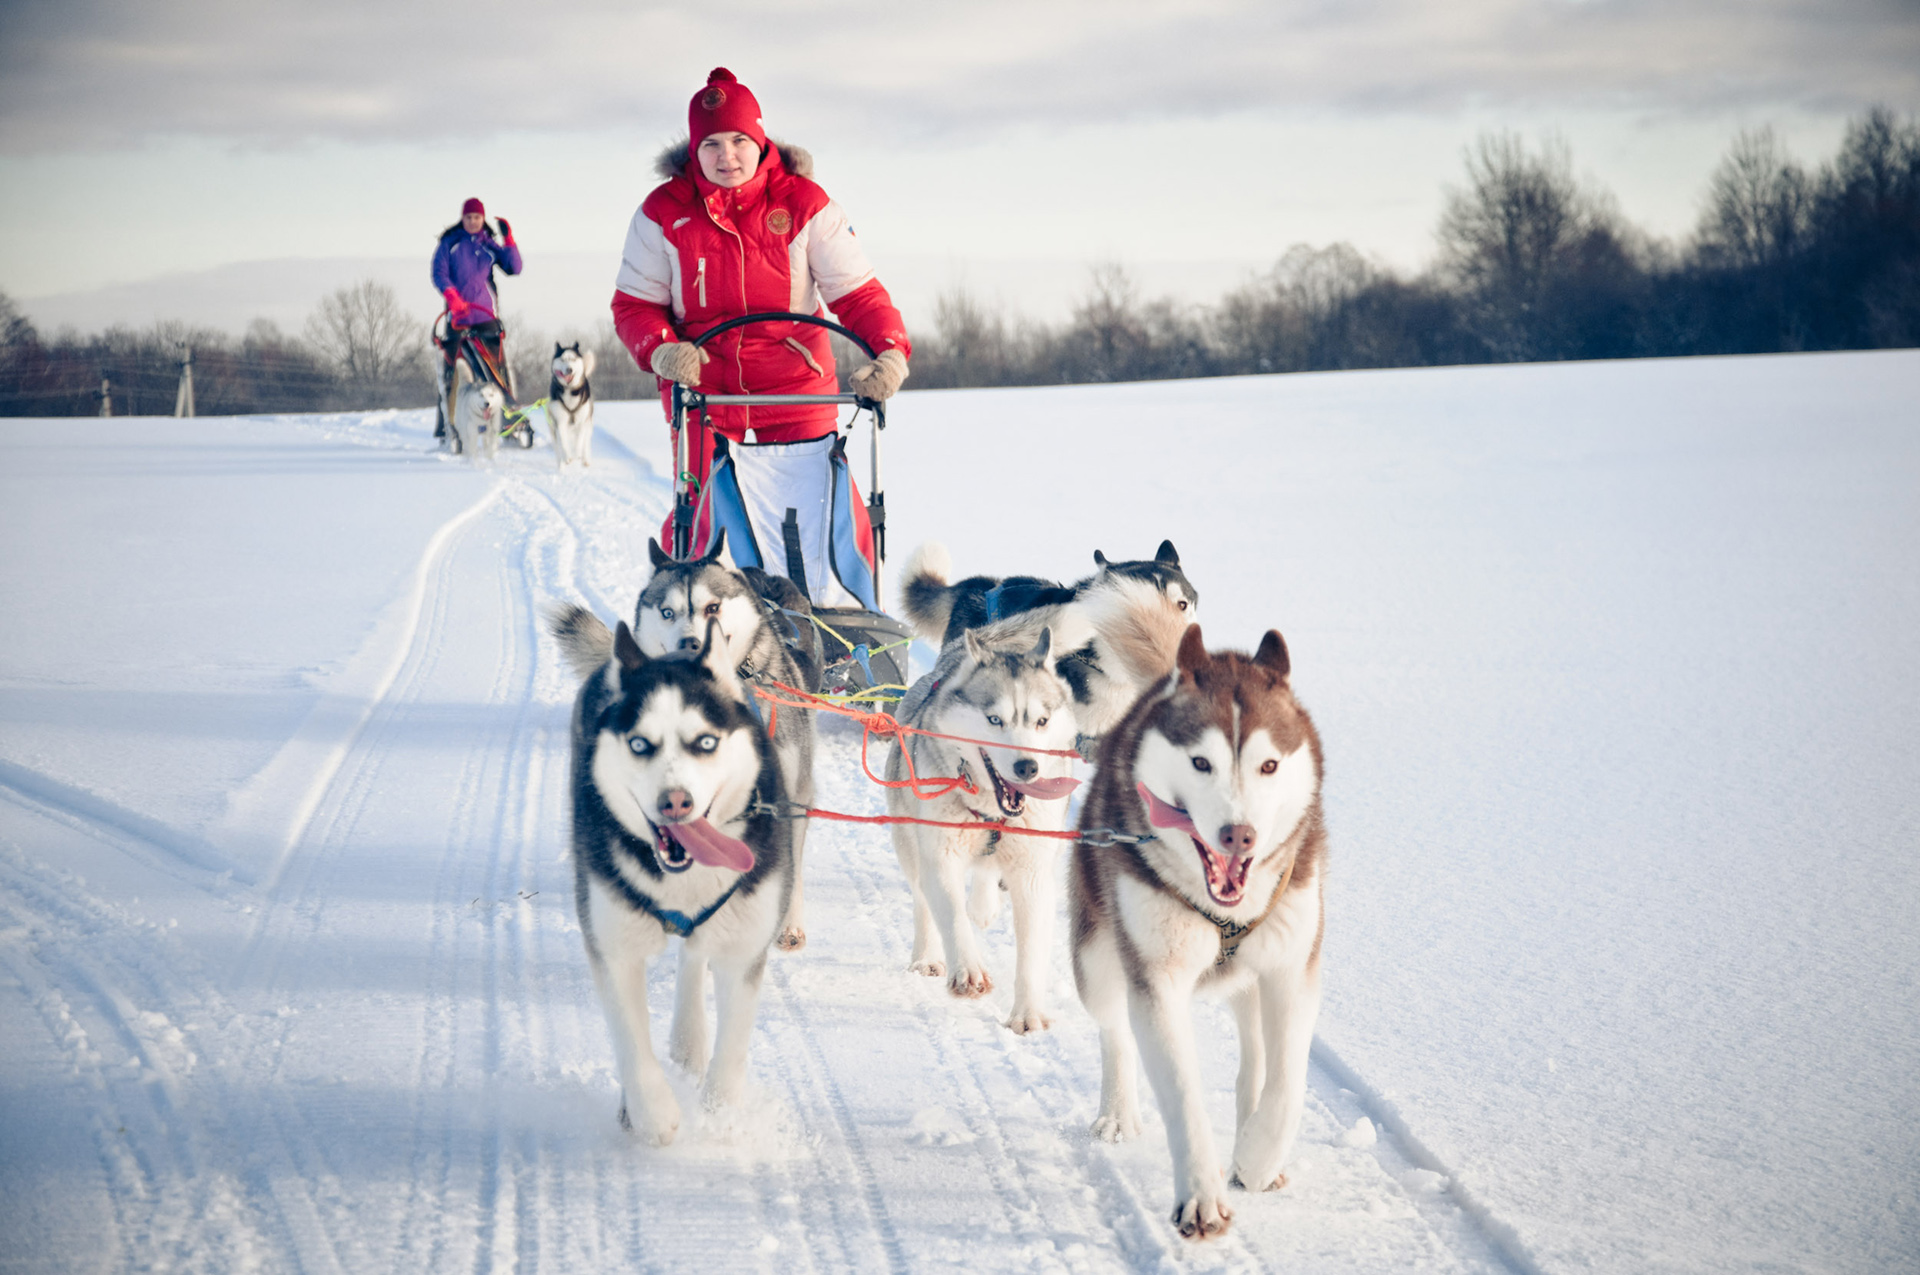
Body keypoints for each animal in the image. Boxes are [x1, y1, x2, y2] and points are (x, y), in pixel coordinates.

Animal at [564, 618, 791, 1144]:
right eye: (639, 744)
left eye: (705, 743)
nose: (675, 802)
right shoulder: (614, 946)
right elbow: (630, 1040)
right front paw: (651, 1113)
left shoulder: (745, 945)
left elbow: (734, 1044)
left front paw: (720, 1113)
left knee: (694, 954)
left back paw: (690, 1041)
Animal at [883, 622, 1082, 1029]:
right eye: (994, 720)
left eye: (1041, 721)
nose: (1027, 767)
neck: (993, 812)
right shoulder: (941, 857)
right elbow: (951, 916)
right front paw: (968, 970)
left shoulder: (1033, 873)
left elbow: (1031, 952)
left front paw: (1027, 1014)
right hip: (909, 844)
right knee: (923, 901)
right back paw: (927, 955)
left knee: (987, 871)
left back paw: (984, 904)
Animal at [1075, 622, 1328, 1236]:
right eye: (1200, 763)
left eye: (1269, 766)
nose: (1240, 835)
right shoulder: (1156, 979)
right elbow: (1182, 1092)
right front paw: (1200, 1196)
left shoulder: (1294, 969)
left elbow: (1288, 1082)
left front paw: (1258, 1157)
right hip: (1095, 959)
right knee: (1113, 1029)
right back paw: (1117, 1111)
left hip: (1254, 974)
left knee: (1256, 1056)